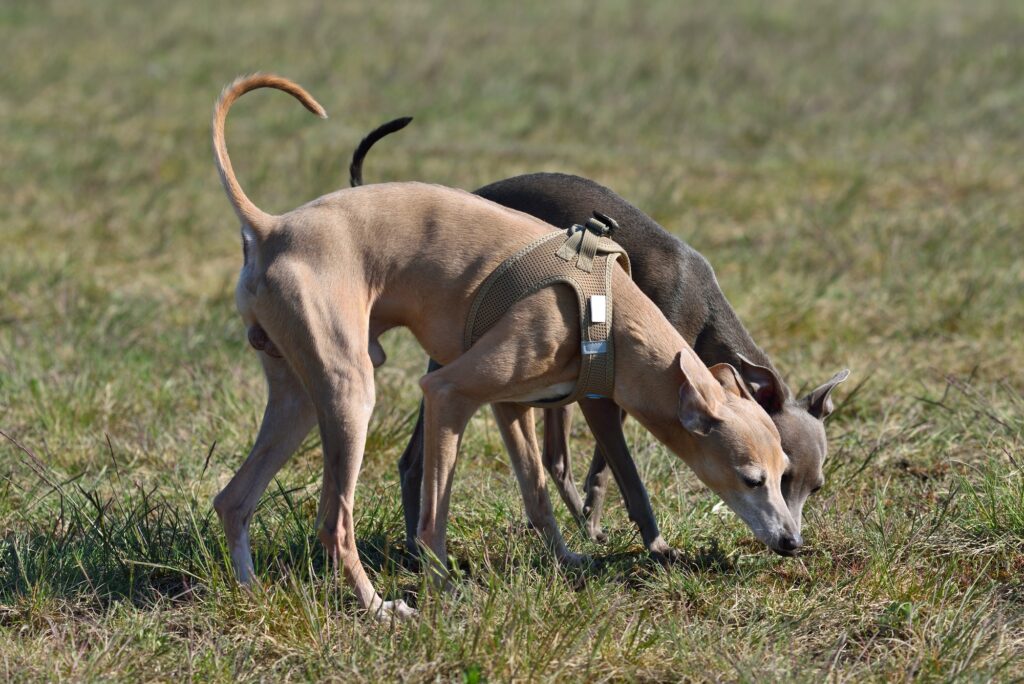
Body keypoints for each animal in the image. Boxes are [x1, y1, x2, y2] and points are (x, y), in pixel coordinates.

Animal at [209, 74, 798, 618]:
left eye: (785, 472)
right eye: (752, 479)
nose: (793, 542)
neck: (606, 309)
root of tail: (270, 226)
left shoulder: (512, 404)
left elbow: (536, 489)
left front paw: (568, 558)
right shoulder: (448, 391)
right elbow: (433, 520)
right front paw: (442, 589)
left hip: (299, 396)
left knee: (233, 499)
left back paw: (252, 593)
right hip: (351, 394)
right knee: (334, 523)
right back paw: (379, 609)